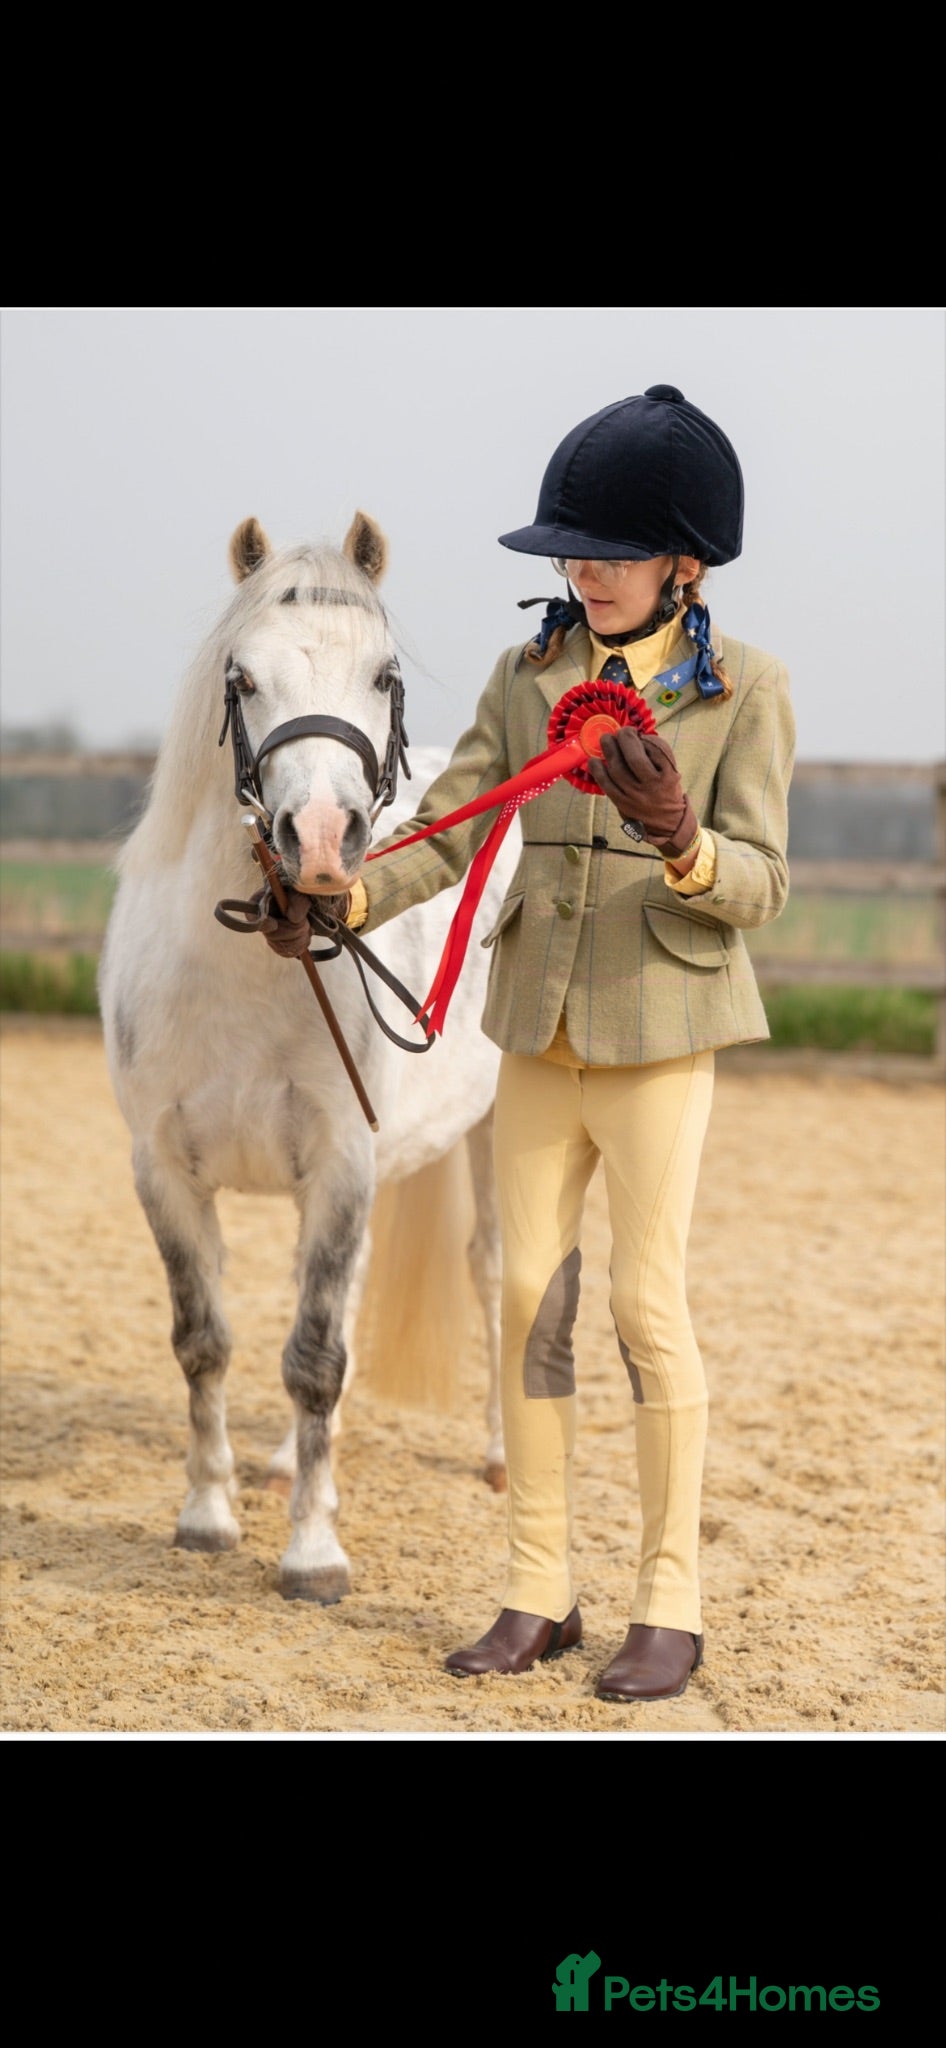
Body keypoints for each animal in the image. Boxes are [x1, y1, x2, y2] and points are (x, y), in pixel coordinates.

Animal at [98, 511, 517, 1604]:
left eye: (383, 673)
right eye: (241, 677)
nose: (323, 841)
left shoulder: (342, 1167)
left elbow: (317, 1355)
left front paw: (313, 1554)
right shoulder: (164, 1171)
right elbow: (205, 1341)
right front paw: (207, 1515)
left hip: (496, 1134)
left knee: (499, 1275)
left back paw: (500, 1456)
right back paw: (290, 1462)